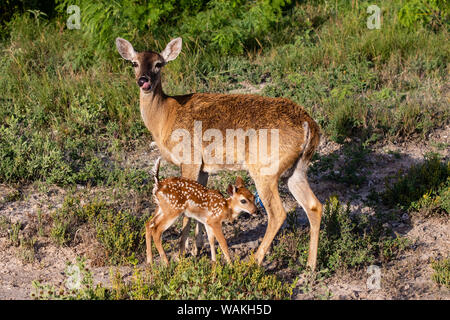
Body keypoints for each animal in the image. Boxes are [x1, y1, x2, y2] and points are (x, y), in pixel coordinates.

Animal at [114, 36, 322, 268]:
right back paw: (311, 265)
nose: (144, 80)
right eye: (134, 63)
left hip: (264, 168)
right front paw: (197, 248)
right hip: (296, 169)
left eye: (159, 64)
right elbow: (198, 206)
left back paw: (255, 261)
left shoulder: (190, 158)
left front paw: (181, 253)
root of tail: (309, 124)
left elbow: (187, 212)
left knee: (278, 213)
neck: (165, 117)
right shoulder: (204, 168)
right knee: (314, 206)